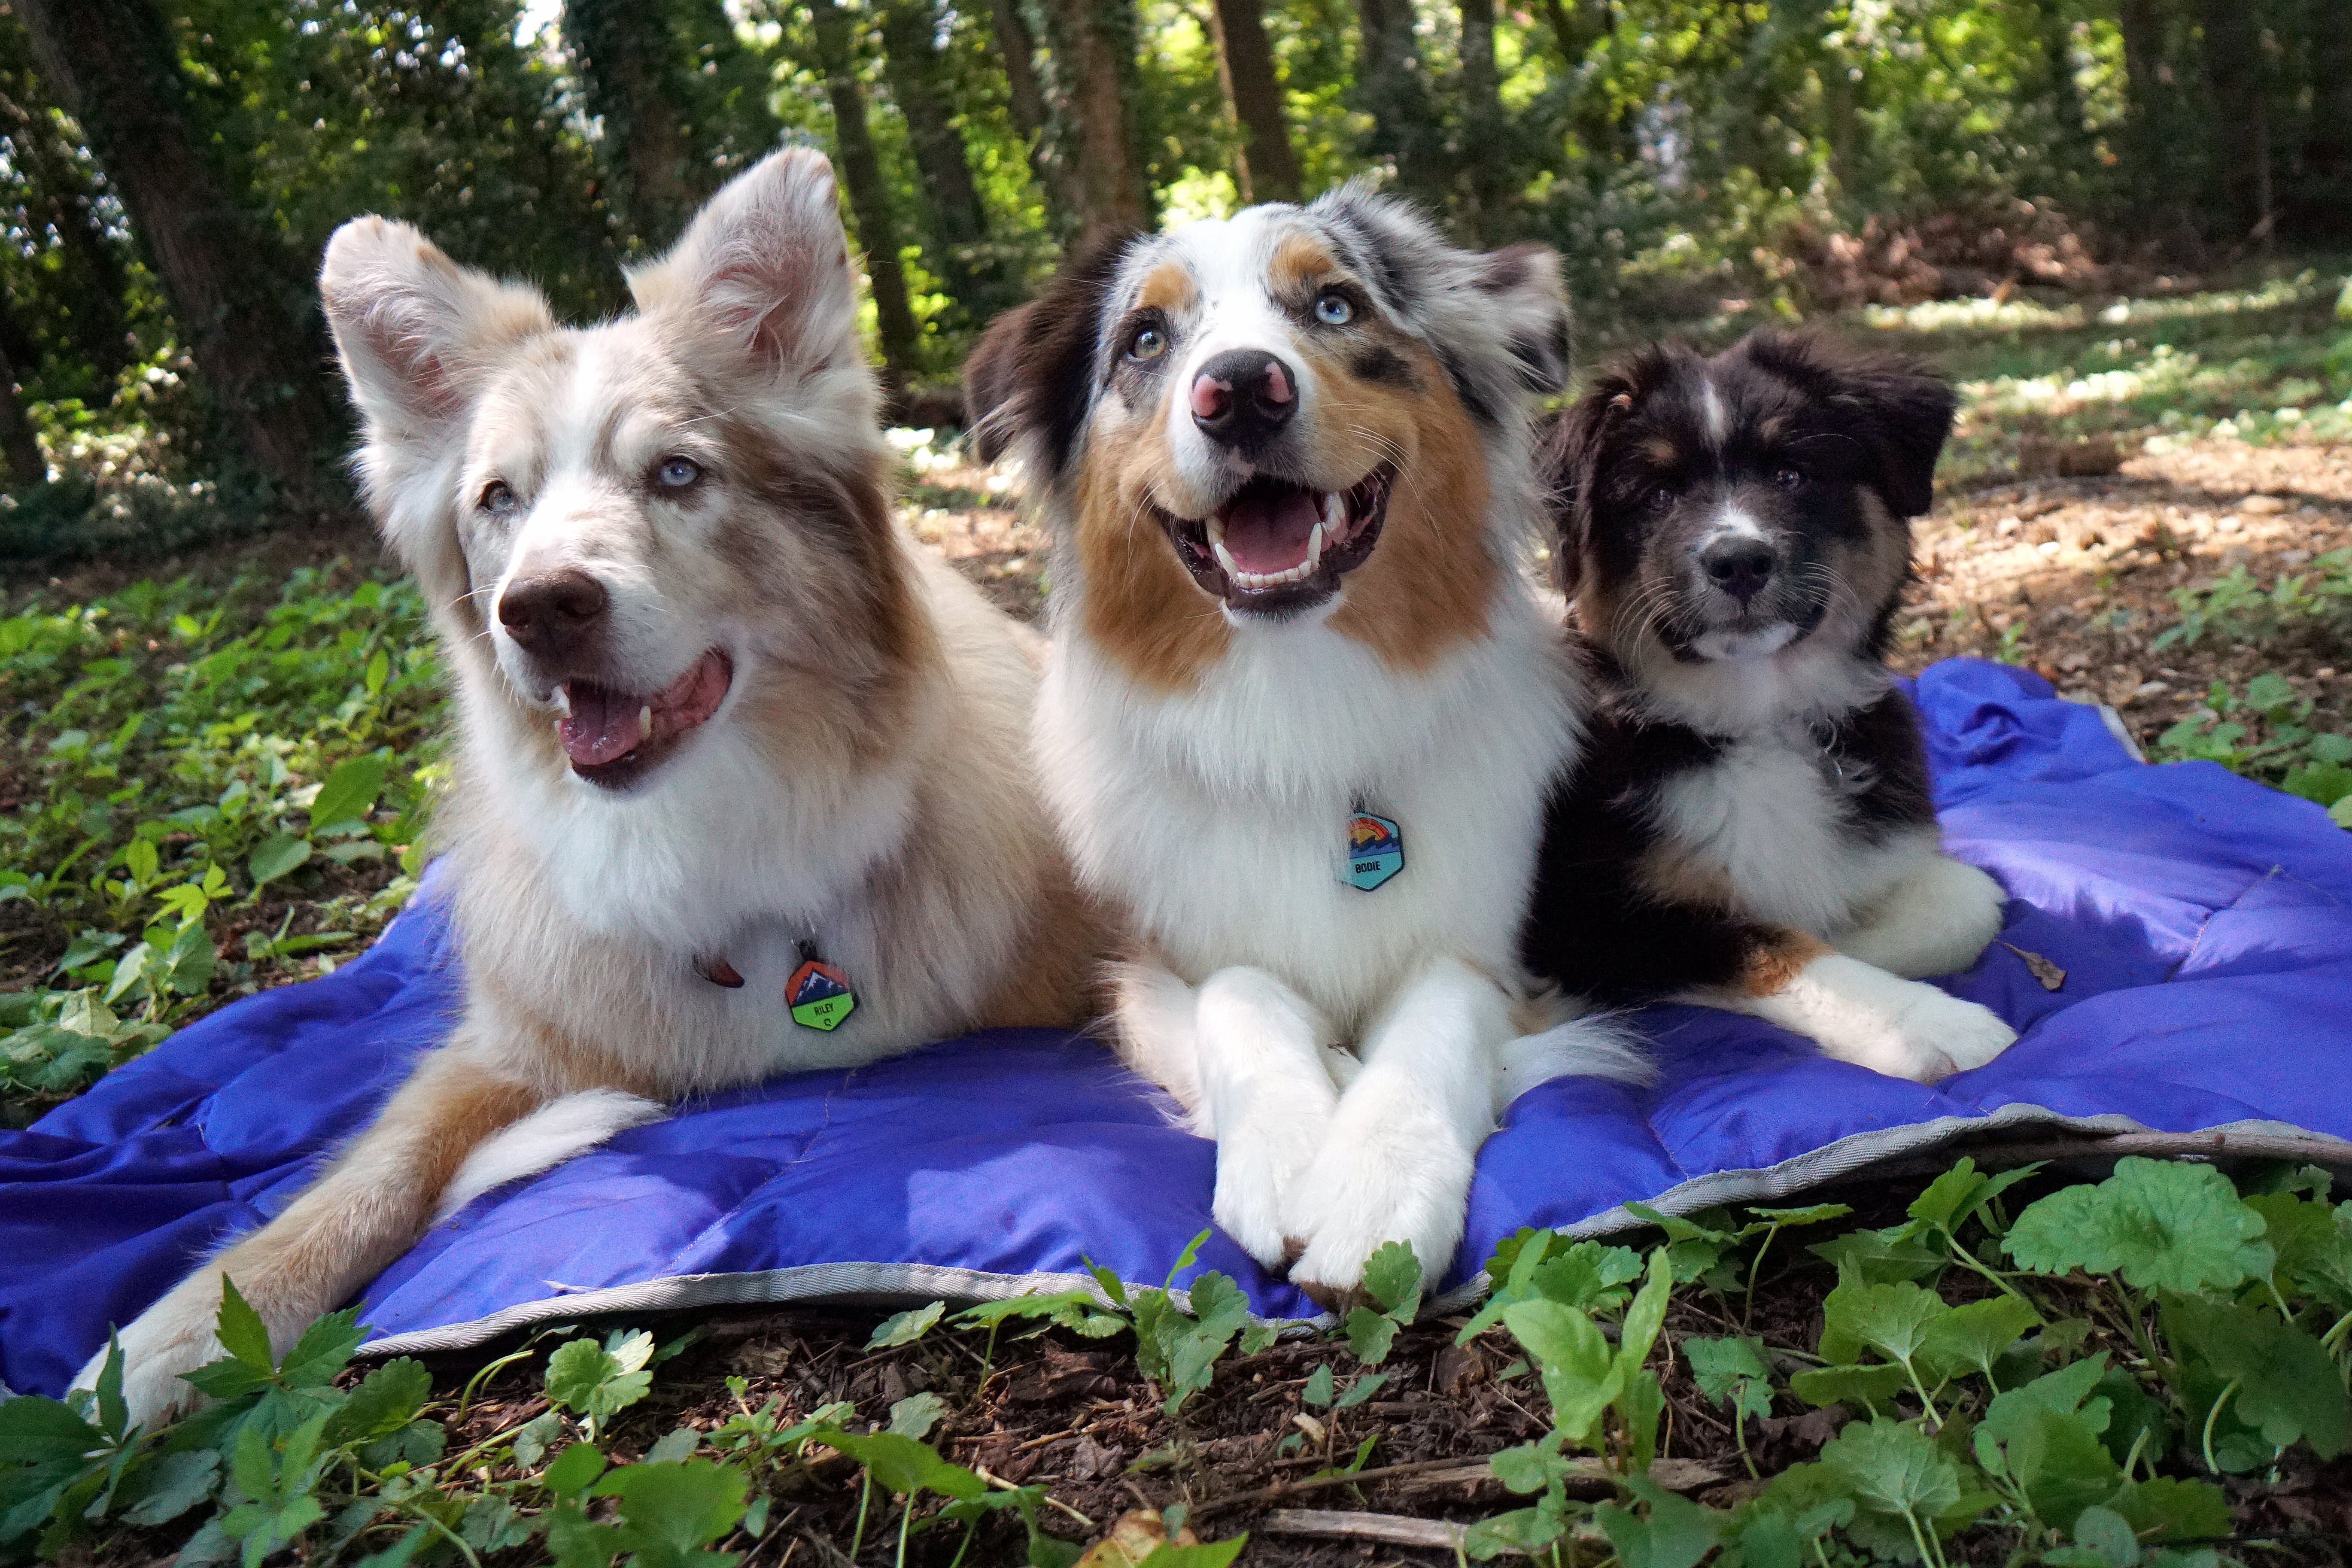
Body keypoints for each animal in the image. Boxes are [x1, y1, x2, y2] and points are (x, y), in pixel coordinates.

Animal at [83, 150, 1091, 1420]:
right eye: (496, 499)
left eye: (677, 473)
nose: (541, 609)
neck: (708, 826)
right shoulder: (506, 1043)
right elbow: (375, 1170)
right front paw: (176, 1335)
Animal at [964, 190, 1646, 1307]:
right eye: (1144, 338)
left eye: (1333, 304)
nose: (1241, 390)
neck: (1297, 709)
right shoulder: (1154, 962)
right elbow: (1242, 996)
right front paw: (1297, 1136)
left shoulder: (1495, 956)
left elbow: (1438, 1010)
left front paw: (1375, 1177)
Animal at [1524, 334, 2023, 1086]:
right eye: (1657, 494)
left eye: (1791, 473)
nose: (1738, 561)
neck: (1757, 719)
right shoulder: (1588, 918)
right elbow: (1766, 941)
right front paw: (1928, 1023)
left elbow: (1971, 899)